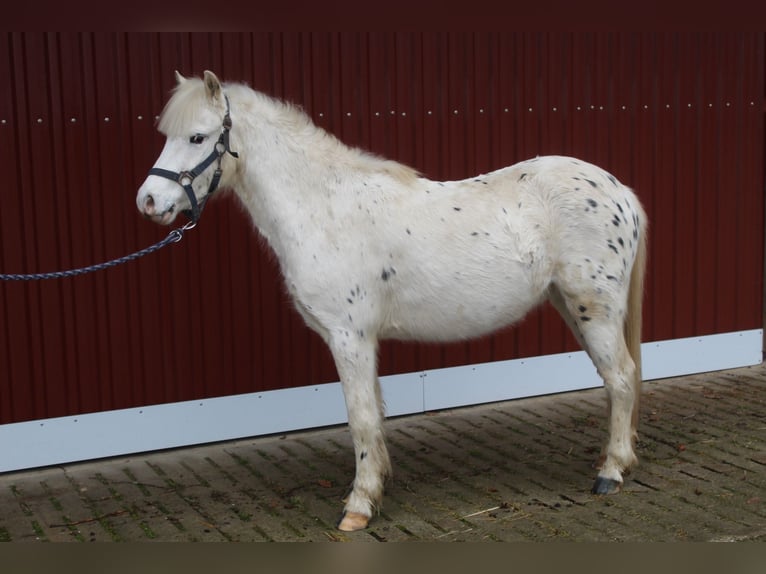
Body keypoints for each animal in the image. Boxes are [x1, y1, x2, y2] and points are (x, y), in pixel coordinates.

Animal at [137, 70, 648, 532]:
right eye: (167, 136)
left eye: (197, 137)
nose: (149, 201)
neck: (324, 209)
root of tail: (619, 189)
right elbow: (375, 415)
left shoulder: (349, 337)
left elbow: (361, 419)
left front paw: (359, 506)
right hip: (572, 306)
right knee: (615, 381)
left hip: (594, 309)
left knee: (622, 378)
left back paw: (611, 473)